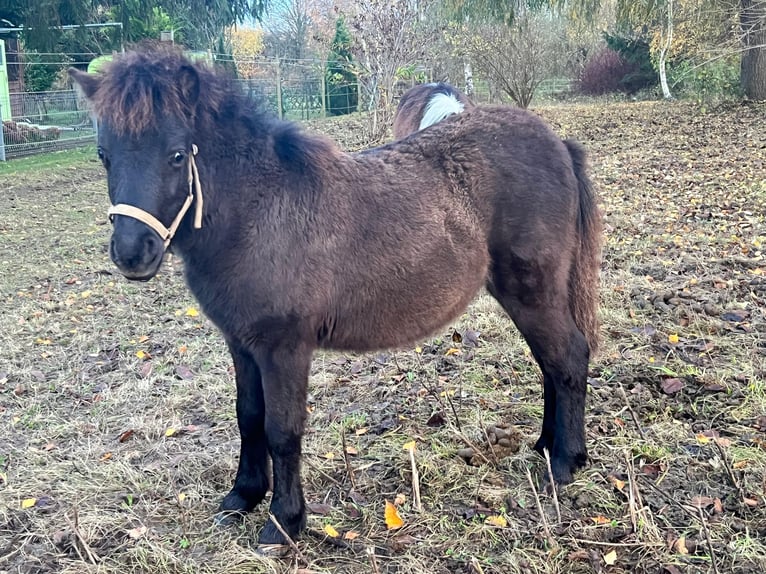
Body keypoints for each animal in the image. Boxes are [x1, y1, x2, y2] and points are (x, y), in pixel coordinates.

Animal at [68, 46, 601, 548]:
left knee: (568, 357)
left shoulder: (284, 348)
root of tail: (556, 143)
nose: (133, 253)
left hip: (532, 290)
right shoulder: (241, 344)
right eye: (103, 155)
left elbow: (282, 429)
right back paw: (544, 444)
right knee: (550, 362)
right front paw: (242, 496)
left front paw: (283, 523)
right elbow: (248, 417)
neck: (258, 212)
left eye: (178, 154)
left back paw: (564, 463)